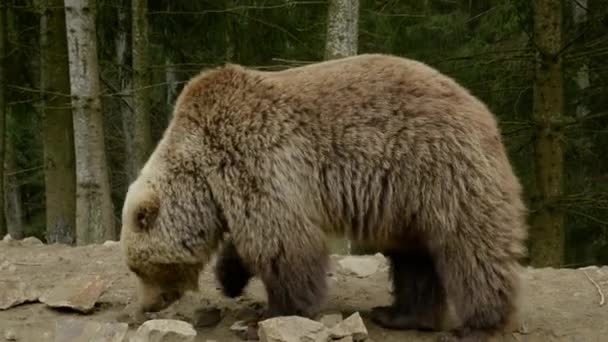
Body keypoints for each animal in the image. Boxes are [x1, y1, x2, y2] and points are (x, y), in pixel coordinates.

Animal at [119, 54, 528, 342]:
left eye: (138, 268)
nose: (146, 305)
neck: (202, 174)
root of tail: (482, 112)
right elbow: (254, 238)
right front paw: (230, 278)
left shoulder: (255, 157)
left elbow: (282, 243)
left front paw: (275, 312)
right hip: (406, 203)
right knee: (414, 257)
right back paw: (399, 315)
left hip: (439, 169)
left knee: (470, 249)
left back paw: (477, 324)